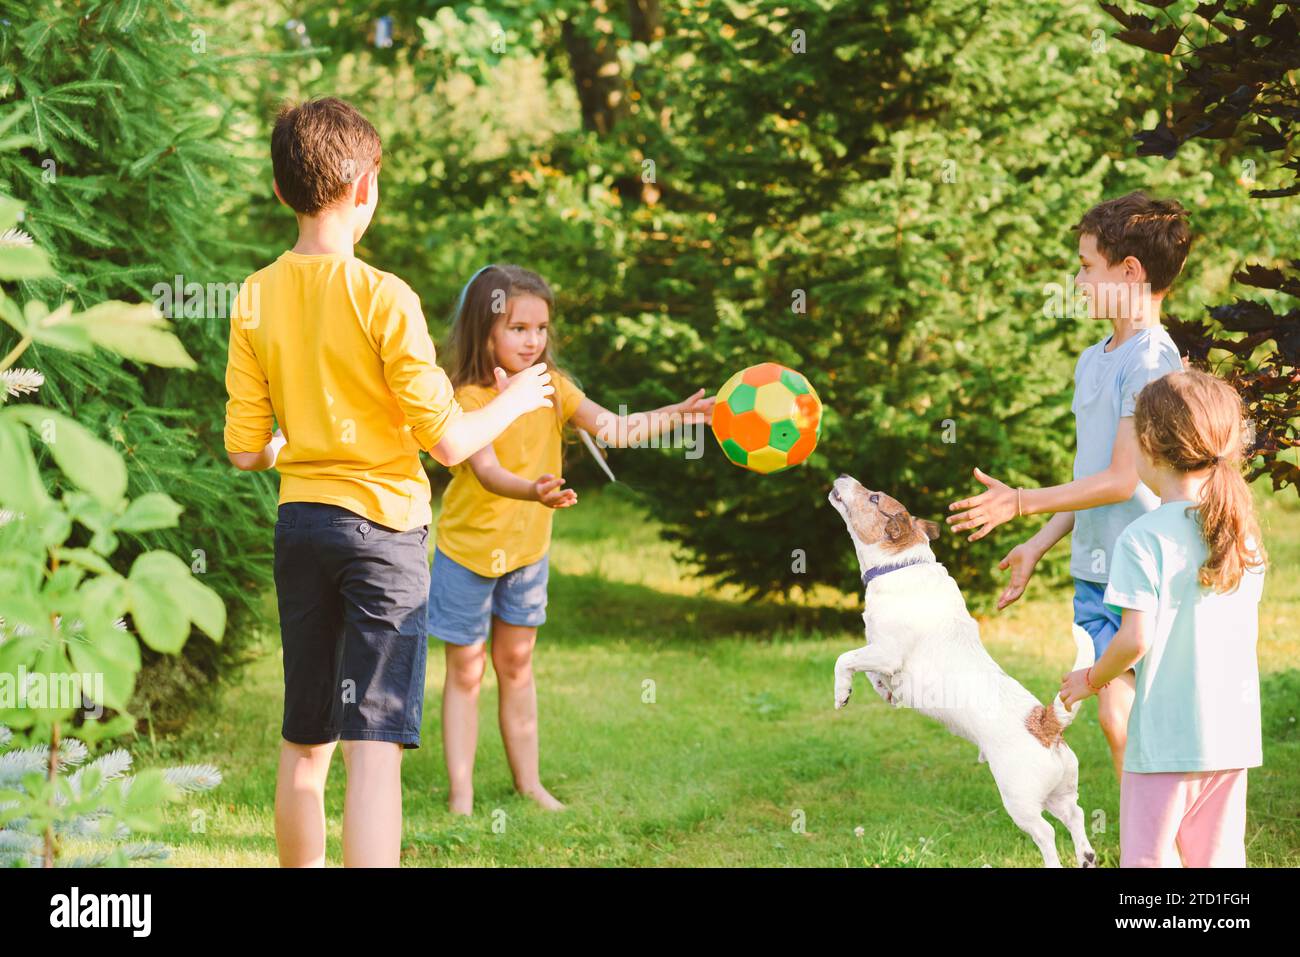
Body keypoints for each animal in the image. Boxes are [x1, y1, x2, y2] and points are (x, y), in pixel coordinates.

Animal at [826, 473, 1092, 868]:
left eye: (874, 497)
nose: (844, 476)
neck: (902, 564)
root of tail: (1046, 723)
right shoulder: (877, 651)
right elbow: (870, 672)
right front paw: (883, 691)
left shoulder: (886, 651)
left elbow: (844, 659)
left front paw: (841, 693)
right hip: (1059, 793)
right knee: (1076, 817)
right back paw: (1086, 855)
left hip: (1020, 799)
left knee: (1046, 833)